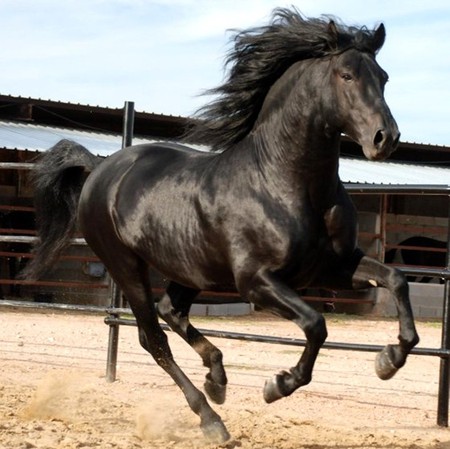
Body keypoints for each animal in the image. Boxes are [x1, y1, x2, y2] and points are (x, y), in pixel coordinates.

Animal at [24, 8, 418, 442]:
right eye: (346, 75)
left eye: (383, 77)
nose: (385, 138)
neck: (283, 181)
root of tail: (100, 168)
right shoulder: (256, 281)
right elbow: (316, 324)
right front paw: (277, 385)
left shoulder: (332, 267)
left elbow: (397, 280)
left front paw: (389, 360)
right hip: (126, 267)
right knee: (153, 338)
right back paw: (211, 418)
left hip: (190, 268)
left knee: (172, 311)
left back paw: (217, 377)